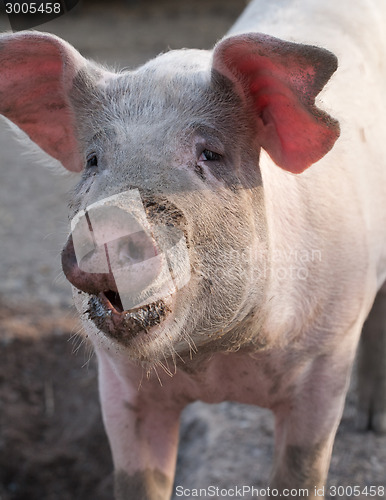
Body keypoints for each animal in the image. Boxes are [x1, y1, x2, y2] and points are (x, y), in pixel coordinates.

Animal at [0, 0, 386, 498]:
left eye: (210, 155)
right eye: (93, 160)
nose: (109, 223)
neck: (214, 363)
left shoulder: (327, 357)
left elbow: (301, 471)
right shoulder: (119, 383)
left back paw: (371, 425)